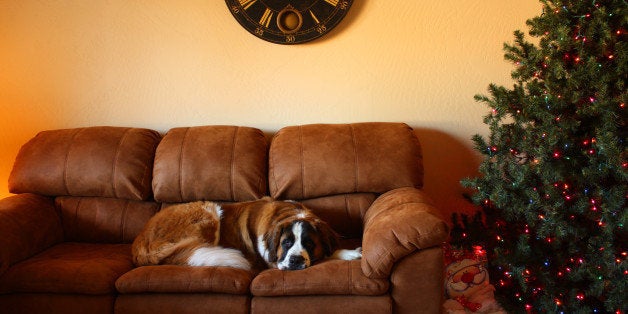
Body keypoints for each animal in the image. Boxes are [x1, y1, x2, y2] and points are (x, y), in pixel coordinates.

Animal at [131, 197, 364, 272]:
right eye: (286, 243)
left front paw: (349, 252)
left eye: (308, 243)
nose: (296, 260)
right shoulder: (273, 261)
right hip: (209, 210)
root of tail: (139, 242)